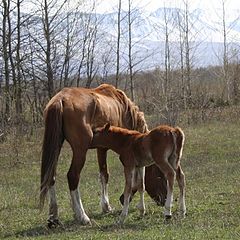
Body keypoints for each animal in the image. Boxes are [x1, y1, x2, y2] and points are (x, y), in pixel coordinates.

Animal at [39, 83, 167, 226]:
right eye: (160, 176)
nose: (164, 200)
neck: (122, 107)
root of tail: (60, 100)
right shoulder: (104, 148)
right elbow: (105, 175)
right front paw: (106, 206)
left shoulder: (100, 148)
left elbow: (103, 175)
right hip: (80, 151)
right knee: (73, 176)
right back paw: (82, 216)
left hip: (56, 146)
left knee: (50, 177)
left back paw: (54, 217)